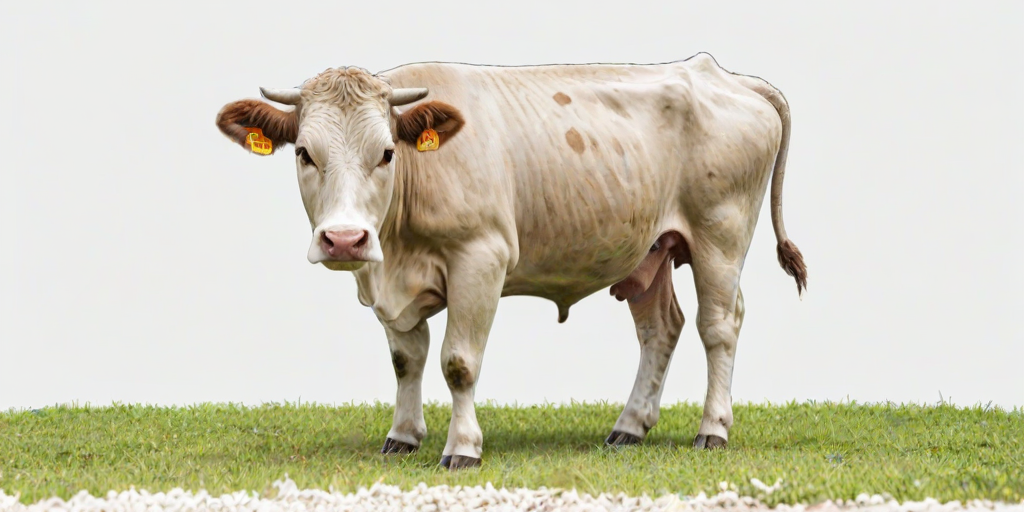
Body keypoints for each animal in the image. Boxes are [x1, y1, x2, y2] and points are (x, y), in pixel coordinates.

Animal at [215, 52, 807, 470]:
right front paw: (402, 436)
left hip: (720, 236)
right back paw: (629, 427)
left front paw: (462, 448)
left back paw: (713, 429)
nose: (344, 239)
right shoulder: (384, 279)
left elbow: (458, 362)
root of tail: (719, 73)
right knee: (661, 328)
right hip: (651, 251)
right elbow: (406, 360)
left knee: (719, 327)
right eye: (303, 153)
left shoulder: (480, 257)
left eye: (385, 153)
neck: (395, 253)